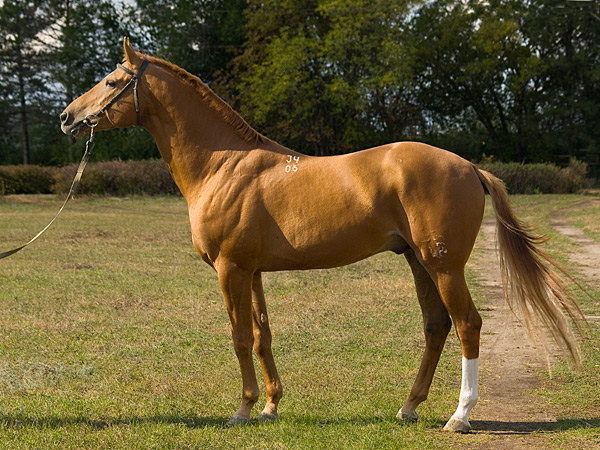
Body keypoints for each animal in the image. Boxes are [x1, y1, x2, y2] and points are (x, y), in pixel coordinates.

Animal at [59, 40, 580, 430]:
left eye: (112, 81)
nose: (67, 117)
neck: (223, 166)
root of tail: (470, 166)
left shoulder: (231, 269)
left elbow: (239, 337)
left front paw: (243, 409)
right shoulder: (253, 272)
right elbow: (263, 335)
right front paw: (270, 406)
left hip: (444, 265)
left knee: (468, 324)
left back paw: (460, 416)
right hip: (418, 262)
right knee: (436, 327)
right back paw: (409, 407)